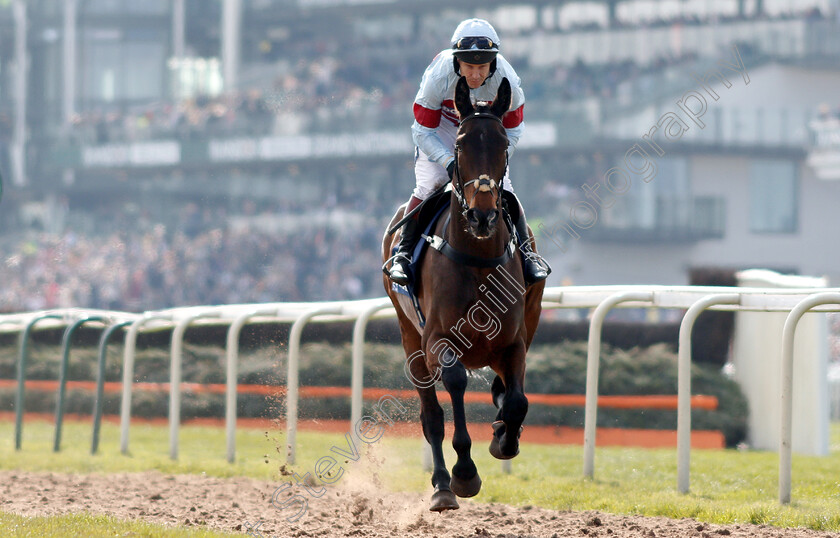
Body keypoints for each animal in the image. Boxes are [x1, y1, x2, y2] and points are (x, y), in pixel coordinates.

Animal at [382, 74, 544, 506]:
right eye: (459, 144)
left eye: (503, 145)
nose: (483, 215)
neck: (477, 260)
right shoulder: (437, 339)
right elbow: (453, 386)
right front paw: (465, 473)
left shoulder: (514, 340)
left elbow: (517, 399)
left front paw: (504, 437)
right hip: (410, 338)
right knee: (432, 415)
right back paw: (442, 485)